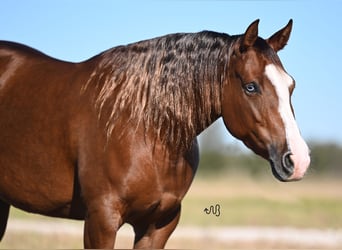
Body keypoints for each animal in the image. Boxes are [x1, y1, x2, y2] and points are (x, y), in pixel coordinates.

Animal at [0, 19, 310, 248]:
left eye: (291, 85)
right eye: (250, 86)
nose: (298, 159)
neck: (145, 127)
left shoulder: (159, 224)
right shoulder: (101, 219)